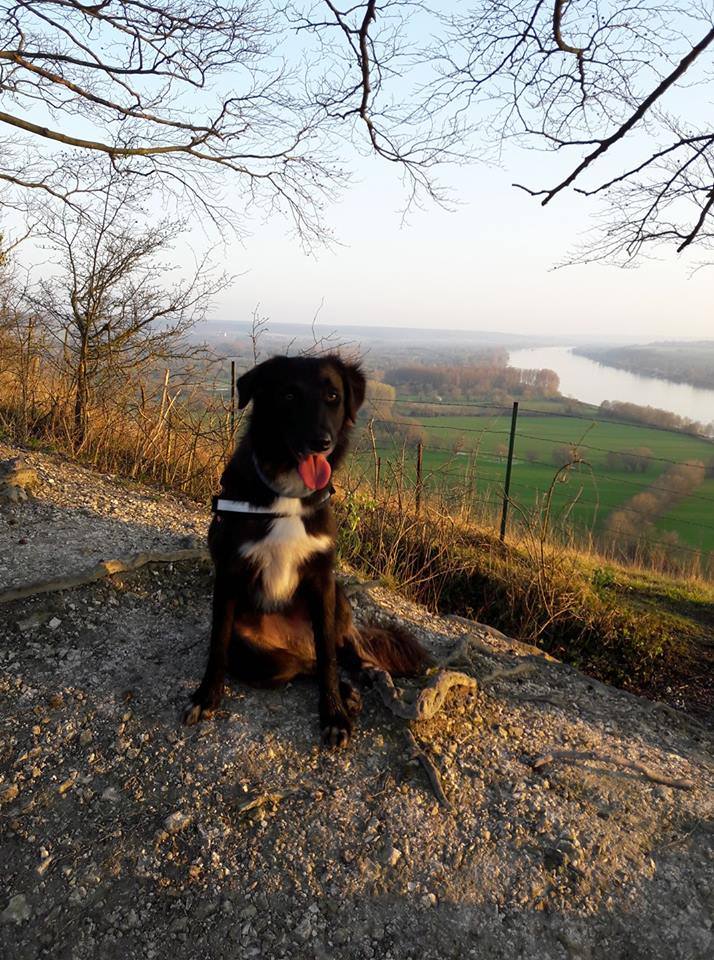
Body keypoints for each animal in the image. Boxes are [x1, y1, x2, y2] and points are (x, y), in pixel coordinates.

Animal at [182, 356, 428, 748]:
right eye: (288, 395)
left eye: (333, 396)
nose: (320, 442)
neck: (288, 495)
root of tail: (295, 644)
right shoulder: (229, 571)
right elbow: (217, 642)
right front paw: (206, 696)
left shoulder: (321, 576)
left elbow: (329, 655)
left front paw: (333, 714)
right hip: (260, 660)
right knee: (300, 665)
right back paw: (347, 690)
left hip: (338, 595)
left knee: (341, 647)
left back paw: (359, 676)